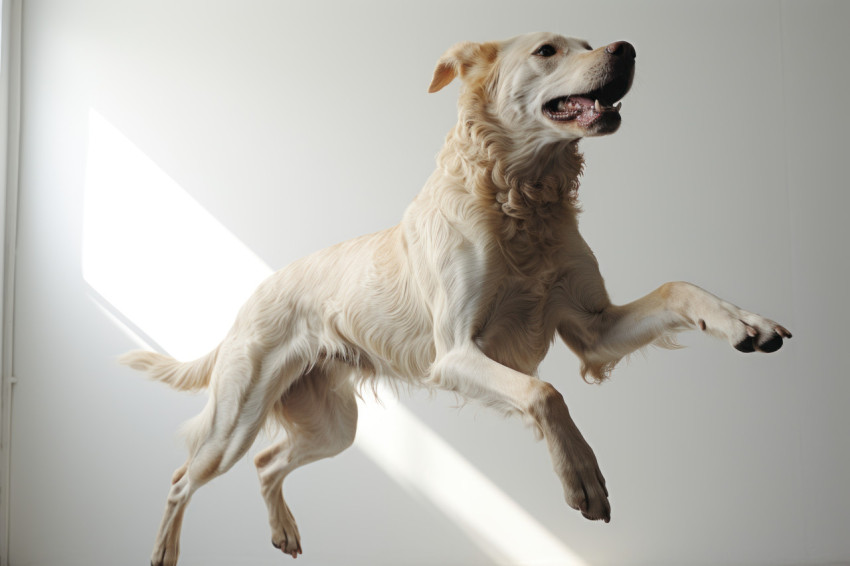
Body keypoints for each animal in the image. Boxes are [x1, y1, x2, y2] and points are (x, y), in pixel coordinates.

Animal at [119, 32, 788, 566]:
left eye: (589, 41)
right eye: (548, 50)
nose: (626, 49)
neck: (520, 198)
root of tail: (254, 291)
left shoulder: (594, 330)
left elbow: (679, 287)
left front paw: (745, 324)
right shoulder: (456, 354)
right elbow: (545, 393)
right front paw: (583, 480)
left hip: (333, 426)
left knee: (266, 463)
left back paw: (283, 532)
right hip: (236, 419)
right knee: (182, 479)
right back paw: (163, 553)